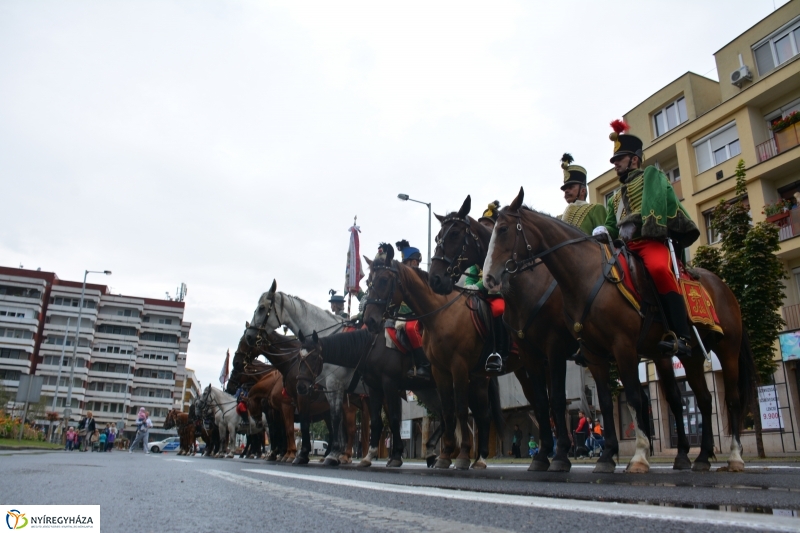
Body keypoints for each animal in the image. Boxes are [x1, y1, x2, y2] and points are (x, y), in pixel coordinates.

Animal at [245, 280, 368, 464]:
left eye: (261, 307)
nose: (249, 336)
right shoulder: (328, 389)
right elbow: (334, 419)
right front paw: (332, 453)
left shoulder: (330, 386)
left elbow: (327, 419)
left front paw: (309, 454)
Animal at [294, 328, 446, 466]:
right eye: (298, 358)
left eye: (314, 357)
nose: (301, 386)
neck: (370, 350)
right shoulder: (374, 388)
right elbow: (375, 421)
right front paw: (369, 456)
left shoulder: (389, 384)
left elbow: (394, 419)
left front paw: (396, 456)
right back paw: (432, 453)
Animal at [482, 189, 756, 472]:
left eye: (503, 229)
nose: (488, 278)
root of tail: (723, 285)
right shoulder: (576, 354)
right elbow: (598, 401)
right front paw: (604, 456)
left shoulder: (595, 348)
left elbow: (624, 398)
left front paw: (635, 457)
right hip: (684, 356)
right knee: (699, 399)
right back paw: (698, 457)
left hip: (727, 349)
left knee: (730, 399)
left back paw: (733, 457)